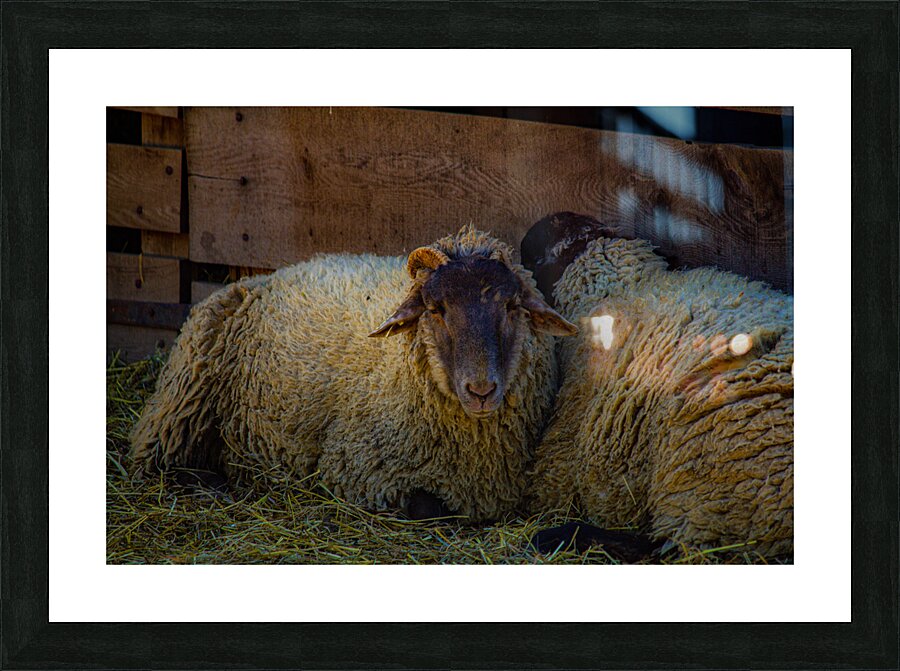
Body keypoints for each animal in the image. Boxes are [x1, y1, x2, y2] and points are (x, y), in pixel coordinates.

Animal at [130, 225, 577, 522]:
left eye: (511, 306)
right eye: (436, 309)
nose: (481, 389)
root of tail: (259, 277)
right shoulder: (359, 470)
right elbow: (429, 508)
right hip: (180, 406)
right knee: (160, 464)